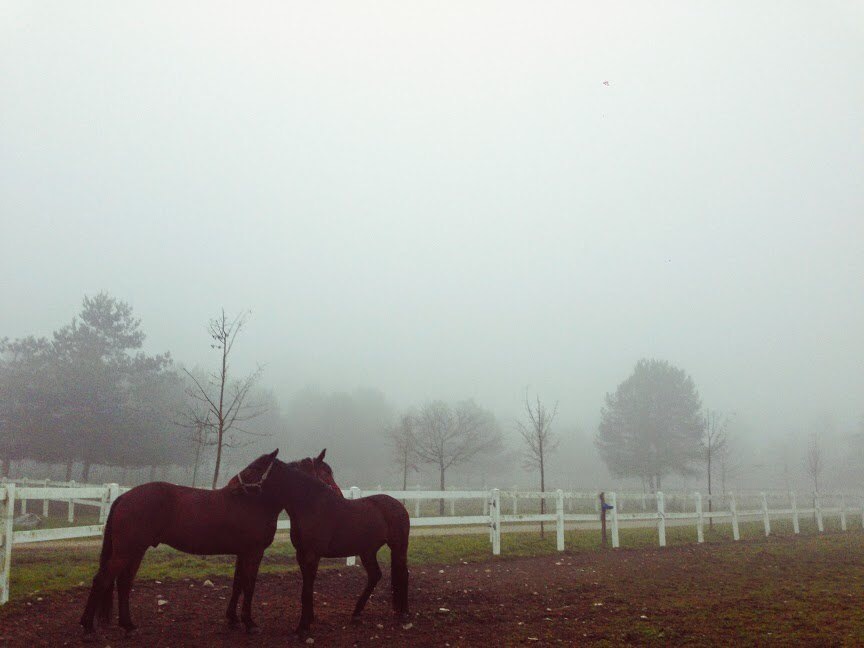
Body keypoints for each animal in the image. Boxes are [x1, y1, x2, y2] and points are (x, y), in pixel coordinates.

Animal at [80, 448, 338, 636]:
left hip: (136, 551)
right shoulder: (253, 553)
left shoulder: (243, 553)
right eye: (326, 472)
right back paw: (88, 626)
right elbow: (249, 586)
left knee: (123, 583)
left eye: (256, 467)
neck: (256, 502)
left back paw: (128, 625)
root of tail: (124, 496)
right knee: (102, 579)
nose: (336, 493)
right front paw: (249, 622)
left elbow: (238, 584)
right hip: (127, 550)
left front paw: (233, 620)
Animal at [243, 458, 412, 636]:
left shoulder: (312, 555)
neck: (310, 506)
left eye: (255, 468)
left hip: (398, 547)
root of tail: (398, 505)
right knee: (375, 575)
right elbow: (307, 587)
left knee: (403, 574)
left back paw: (404, 613)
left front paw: (303, 627)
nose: (239, 482)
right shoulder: (301, 554)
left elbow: (306, 590)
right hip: (368, 551)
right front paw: (308, 620)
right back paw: (357, 613)